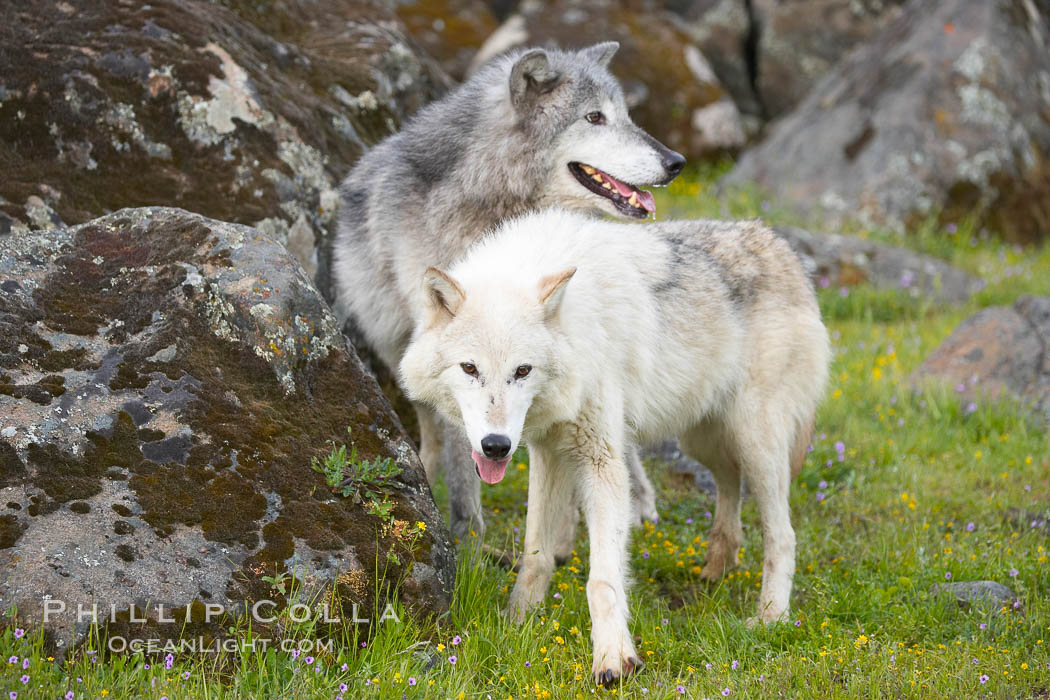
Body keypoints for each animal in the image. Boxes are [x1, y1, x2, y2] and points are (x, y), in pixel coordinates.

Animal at [331, 39, 684, 541]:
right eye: (594, 117)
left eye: (627, 115)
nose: (676, 163)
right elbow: (463, 442)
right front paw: (467, 533)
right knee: (431, 427)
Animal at [398, 207, 827, 684]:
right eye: (470, 368)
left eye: (523, 370)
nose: (496, 446)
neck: (575, 328)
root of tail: (783, 248)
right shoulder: (547, 451)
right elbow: (536, 554)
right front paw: (518, 620)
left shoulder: (602, 461)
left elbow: (602, 579)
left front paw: (613, 659)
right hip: (703, 440)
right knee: (729, 486)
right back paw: (717, 567)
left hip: (756, 443)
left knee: (782, 535)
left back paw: (770, 616)